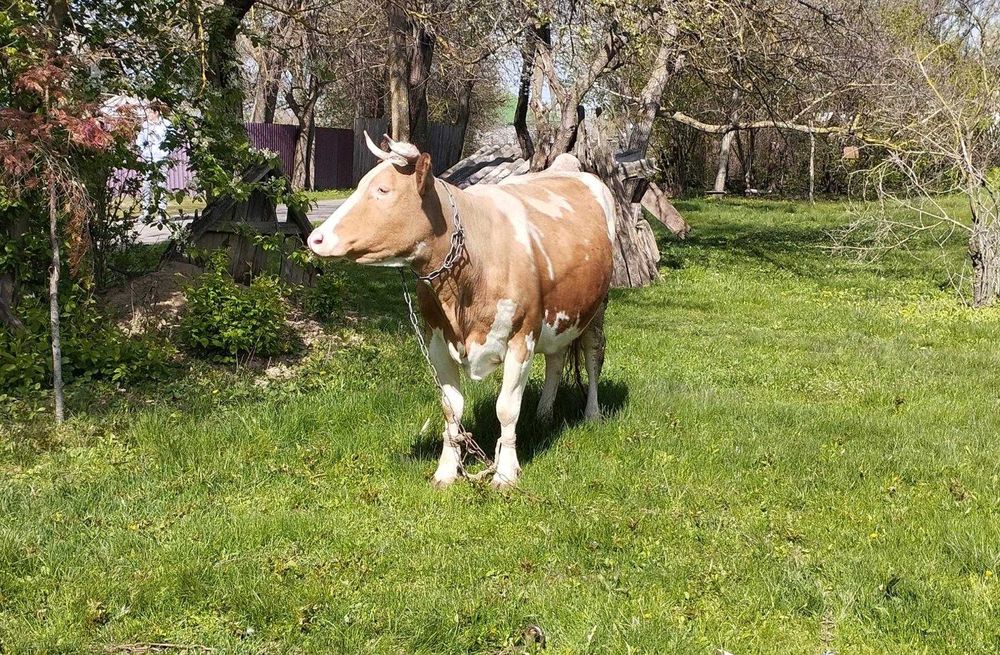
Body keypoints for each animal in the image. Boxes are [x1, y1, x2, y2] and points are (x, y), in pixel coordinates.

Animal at [307, 133, 614, 488]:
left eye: (383, 190)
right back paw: (544, 414)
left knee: (593, 355)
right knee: (556, 357)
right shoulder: (437, 340)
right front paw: (445, 471)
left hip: (599, 304)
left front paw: (505, 473)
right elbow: (451, 407)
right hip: (560, 315)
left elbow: (506, 409)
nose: (316, 238)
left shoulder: (521, 337)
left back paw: (592, 415)